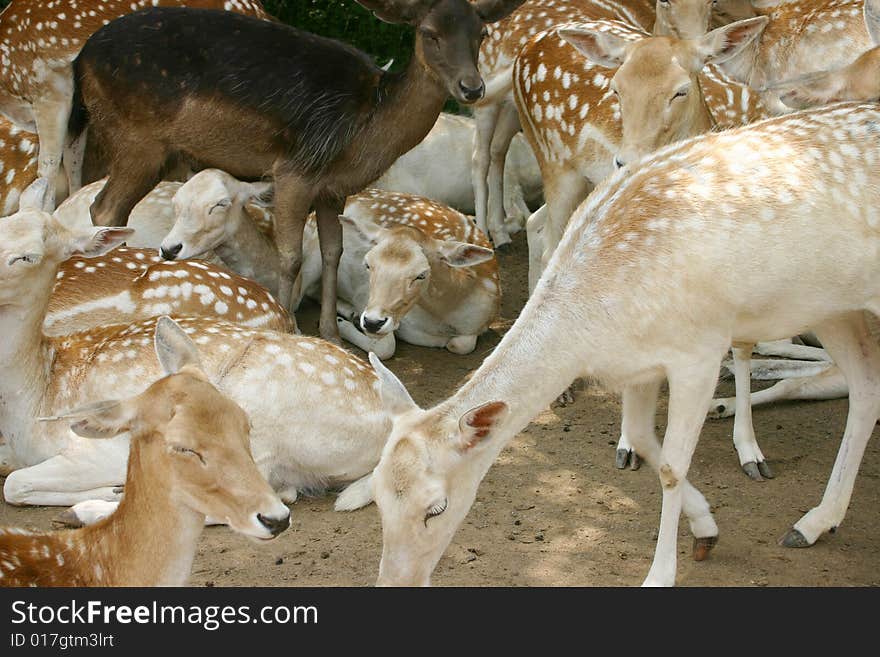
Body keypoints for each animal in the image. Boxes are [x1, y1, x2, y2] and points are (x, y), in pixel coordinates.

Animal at [0, 208, 392, 510]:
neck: (37, 397)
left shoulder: (100, 447)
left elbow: (14, 483)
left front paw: (112, 489)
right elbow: (14, 482)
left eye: (29, 255)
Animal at [69, 0, 524, 346]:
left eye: (482, 33)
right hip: (137, 142)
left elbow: (333, 251)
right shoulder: (293, 172)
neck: (365, 129)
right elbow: (290, 257)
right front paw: (289, 324)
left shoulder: (333, 189)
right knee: (104, 207)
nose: (472, 88)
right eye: (429, 32)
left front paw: (331, 332)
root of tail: (80, 60)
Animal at [368, 104, 880, 588]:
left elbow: (671, 465)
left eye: (436, 508)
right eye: (376, 495)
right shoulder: (641, 365)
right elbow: (642, 439)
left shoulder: (698, 351)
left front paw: (660, 574)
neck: (596, 329)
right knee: (865, 391)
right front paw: (706, 530)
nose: (395, 582)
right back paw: (814, 522)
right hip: (832, 308)